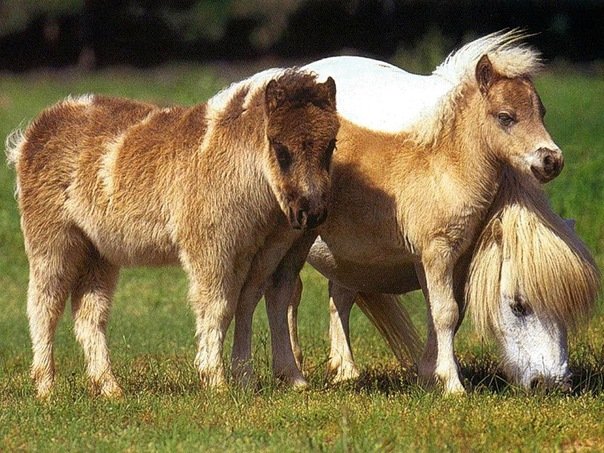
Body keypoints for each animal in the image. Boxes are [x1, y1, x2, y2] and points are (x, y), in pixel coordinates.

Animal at [5, 69, 340, 398]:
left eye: (331, 145)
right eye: (280, 148)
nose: (312, 212)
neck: (232, 160)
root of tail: (32, 134)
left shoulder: (250, 254)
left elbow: (242, 305)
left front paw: (244, 379)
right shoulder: (210, 250)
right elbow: (217, 307)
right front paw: (215, 381)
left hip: (98, 254)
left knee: (89, 315)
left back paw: (110, 388)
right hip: (52, 243)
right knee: (44, 306)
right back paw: (46, 388)